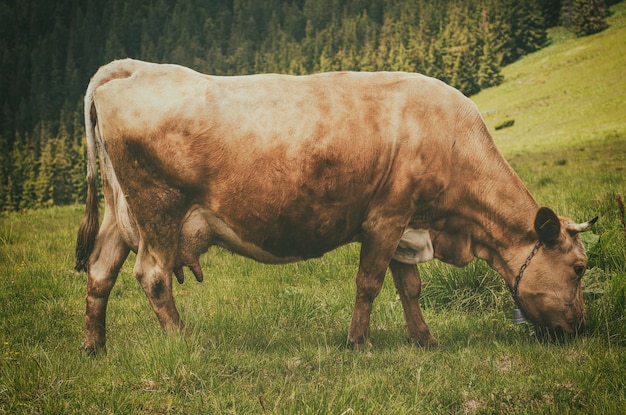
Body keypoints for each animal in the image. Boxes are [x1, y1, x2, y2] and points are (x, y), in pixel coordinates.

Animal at [74, 60, 596, 356]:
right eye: (579, 267)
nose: (581, 327)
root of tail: (134, 67)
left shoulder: (408, 224)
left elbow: (410, 287)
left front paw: (425, 340)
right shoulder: (386, 217)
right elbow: (370, 284)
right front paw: (359, 344)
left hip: (122, 216)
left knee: (100, 272)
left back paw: (94, 347)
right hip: (159, 209)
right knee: (153, 276)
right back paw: (184, 343)